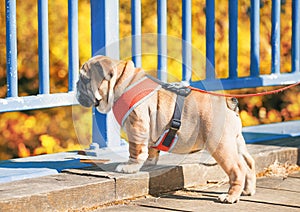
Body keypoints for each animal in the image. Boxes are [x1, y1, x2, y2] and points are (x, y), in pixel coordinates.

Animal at [77, 55, 255, 204]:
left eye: (85, 79)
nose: (76, 86)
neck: (122, 82)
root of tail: (229, 103)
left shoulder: (137, 125)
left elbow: (135, 150)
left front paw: (129, 167)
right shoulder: (149, 130)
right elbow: (150, 149)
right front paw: (149, 162)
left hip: (220, 145)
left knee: (237, 168)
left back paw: (230, 196)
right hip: (236, 142)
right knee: (248, 163)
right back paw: (247, 190)